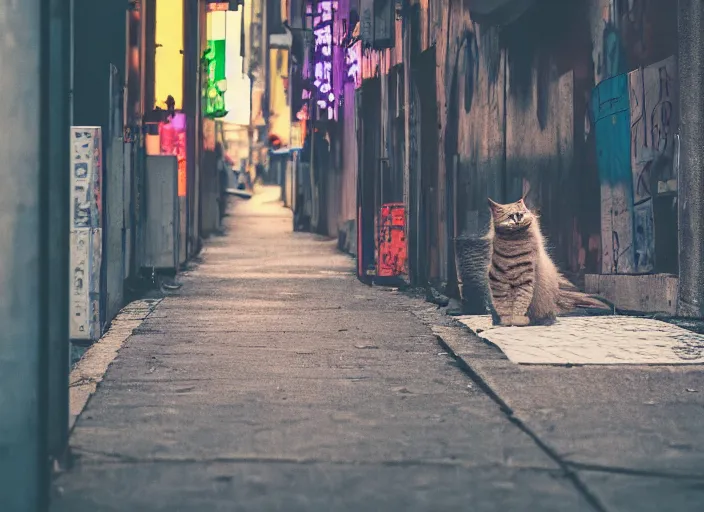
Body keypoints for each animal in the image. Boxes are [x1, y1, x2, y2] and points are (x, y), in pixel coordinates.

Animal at [486, 198, 608, 326]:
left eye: (521, 214)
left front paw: (517, 320)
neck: (513, 244)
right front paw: (506, 321)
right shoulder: (498, 282)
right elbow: (503, 305)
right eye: (510, 216)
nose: (518, 219)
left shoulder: (526, 280)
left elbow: (520, 303)